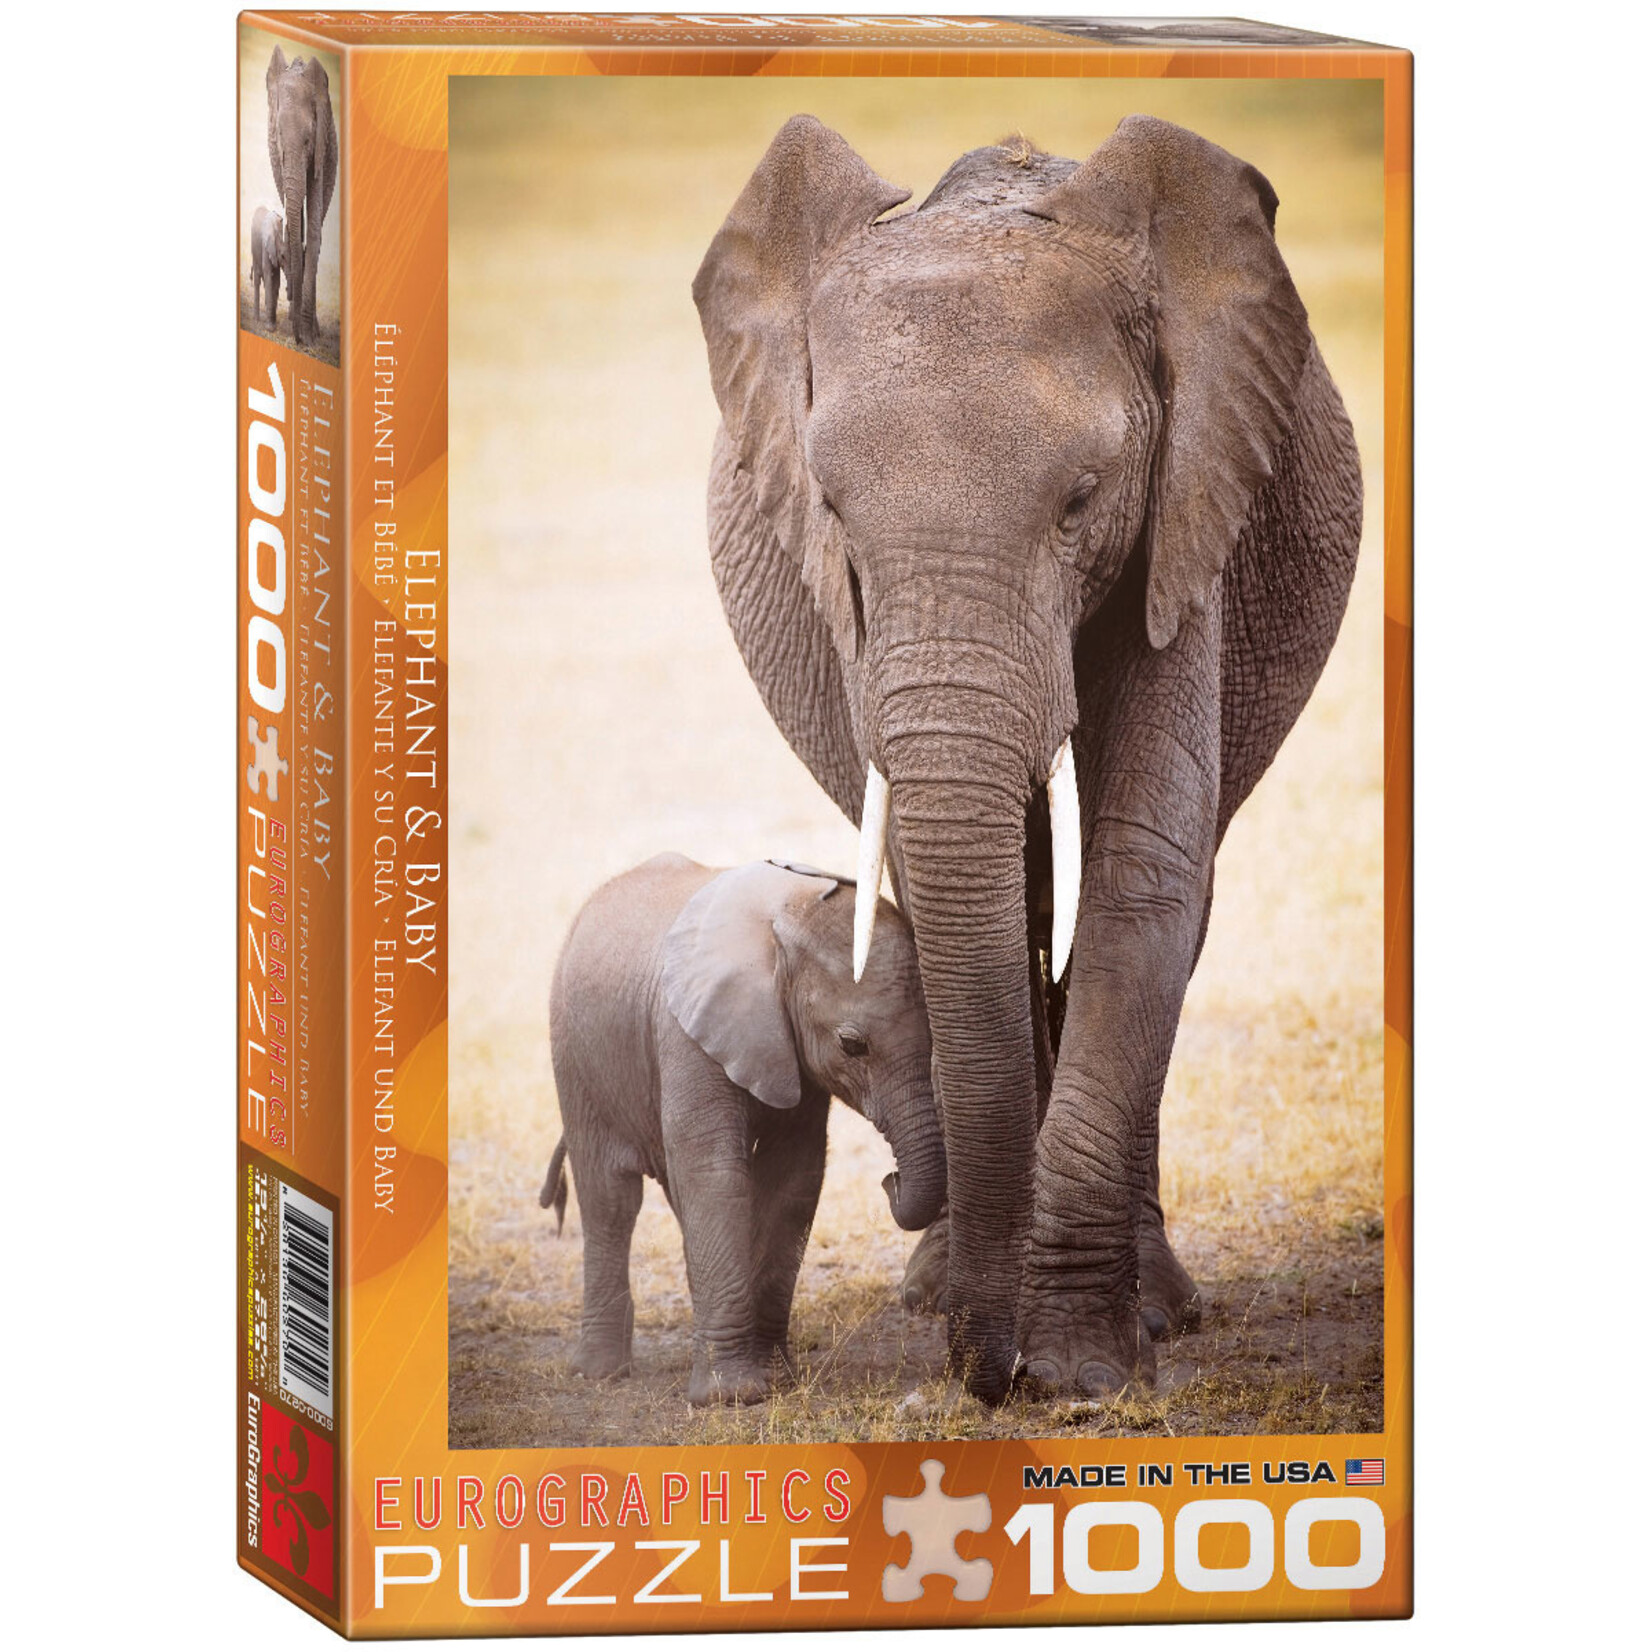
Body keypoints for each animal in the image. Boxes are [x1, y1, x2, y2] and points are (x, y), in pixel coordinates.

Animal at [540, 854, 943, 1406]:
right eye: (852, 1045)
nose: (891, 1180)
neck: (786, 918)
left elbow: (793, 1179)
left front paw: (776, 1378)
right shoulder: (686, 1032)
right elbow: (714, 1175)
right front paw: (730, 1397)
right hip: (575, 1056)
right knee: (610, 1197)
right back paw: (600, 1372)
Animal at [693, 115, 1362, 1403]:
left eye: (1079, 501)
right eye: (832, 513)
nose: (984, 1374)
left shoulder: (1186, 510)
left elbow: (1140, 873)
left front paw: (1082, 1368)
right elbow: (970, 886)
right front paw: (1013, 1334)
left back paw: (1155, 1307)